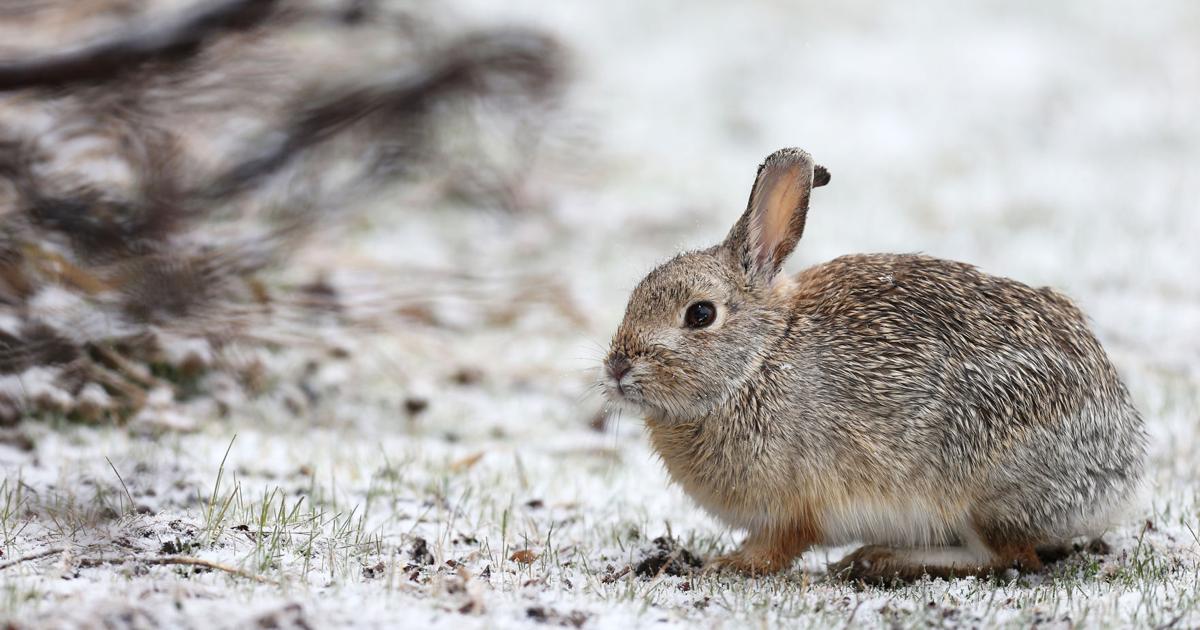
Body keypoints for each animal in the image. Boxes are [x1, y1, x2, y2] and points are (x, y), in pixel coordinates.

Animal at [601, 148, 1147, 582]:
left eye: (700, 314)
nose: (618, 368)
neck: (758, 361)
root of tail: (1123, 463)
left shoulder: (794, 506)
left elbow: (774, 549)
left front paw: (724, 565)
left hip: (987, 488)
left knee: (1008, 557)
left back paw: (877, 559)